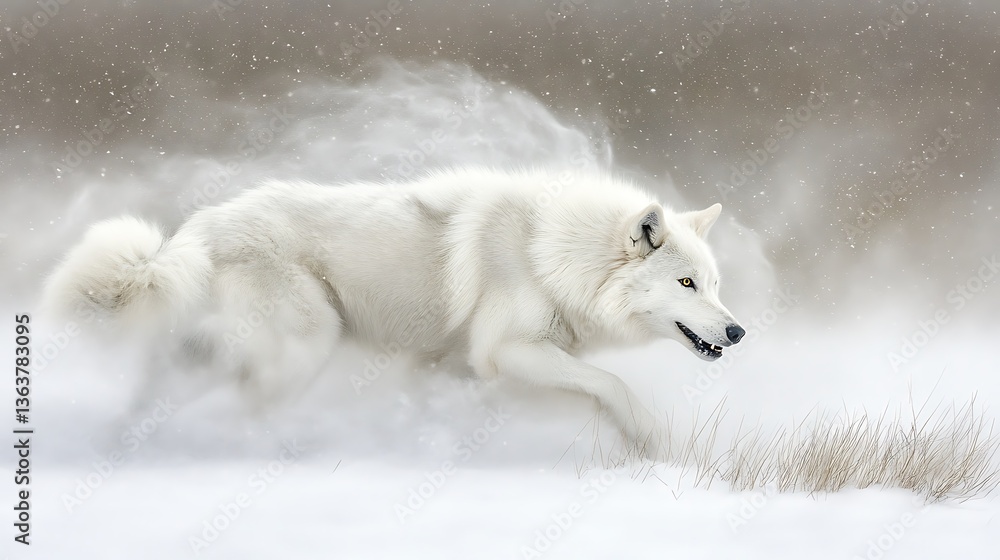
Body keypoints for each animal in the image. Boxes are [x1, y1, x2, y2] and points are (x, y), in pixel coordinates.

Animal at [44, 168, 744, 460]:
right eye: (685, 283)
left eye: (714, 285)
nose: (738, 331)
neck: (551, 250)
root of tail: (192, 231)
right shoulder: (506, 352)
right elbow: (611, 382)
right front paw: (653, 440)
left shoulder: (448, 366)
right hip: (312, 338)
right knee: (251, 405)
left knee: (164, 390)